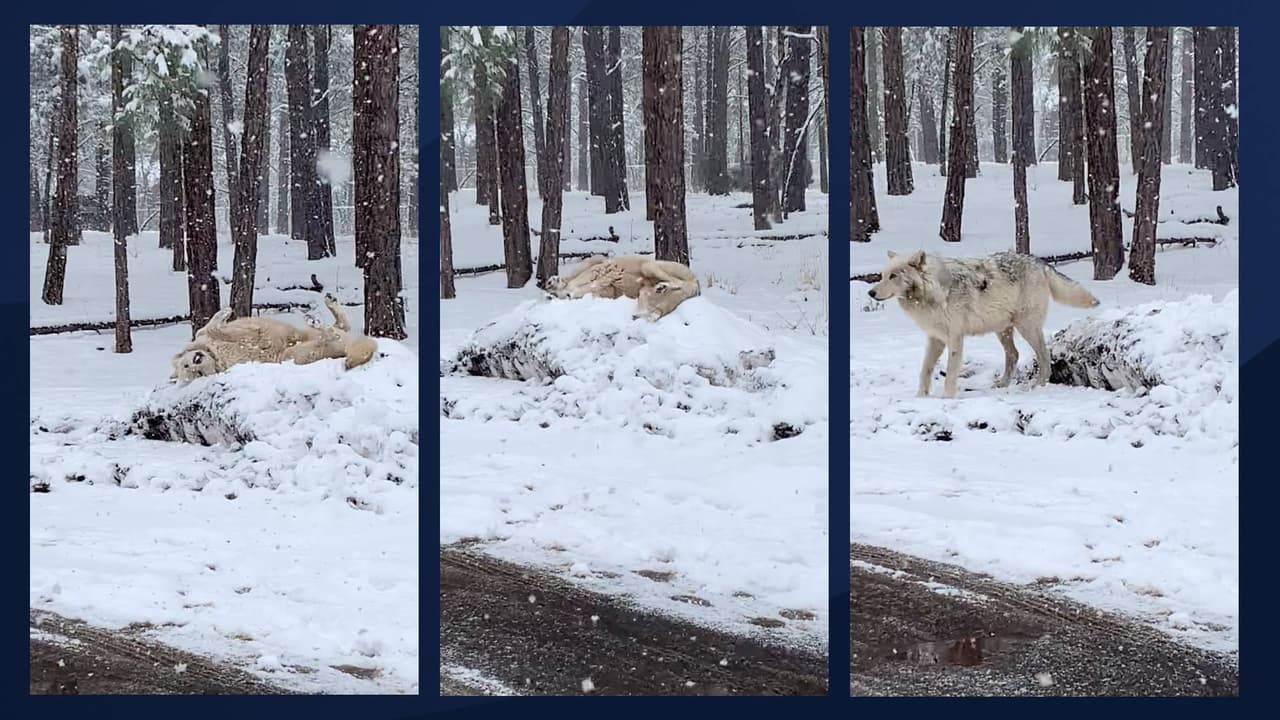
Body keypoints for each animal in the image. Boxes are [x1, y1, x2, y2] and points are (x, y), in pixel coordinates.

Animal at [171, 295, 379, 382]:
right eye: (194, 372)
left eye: (188, 365)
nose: (197, 361)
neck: (214, 354)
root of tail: (347, 346)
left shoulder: (212, 335)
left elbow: (206, 329)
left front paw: (224, 313)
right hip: (297, 353)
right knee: (332, 333)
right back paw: (317, 322)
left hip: (303, 334)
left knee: (342, 325)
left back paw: (328, 304)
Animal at [546, 255, 701, 321]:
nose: (550, 285)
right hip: (645, 292)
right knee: (653, 313)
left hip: (649, 266)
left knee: (681, 282)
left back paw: (663, 286)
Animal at [867, 250, 1099, 398]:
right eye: (883, 276)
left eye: (894, 276)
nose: (871, 292)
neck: (934, 293)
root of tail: (1039, 262)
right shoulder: (935, 339)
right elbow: (925, 370)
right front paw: (921, 397)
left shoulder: (955, 338)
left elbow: (950, 373)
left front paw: (947, 399)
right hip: (1003, 330)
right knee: (1014, 355)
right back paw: (1002, 384)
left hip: (1027, 327)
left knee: (1043, 356)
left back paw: (1037, 386)